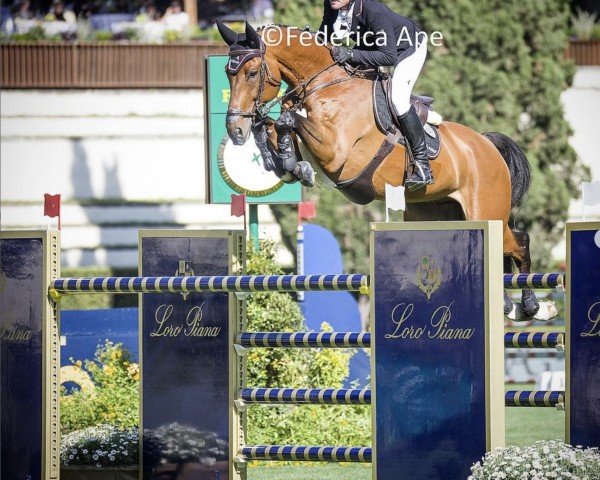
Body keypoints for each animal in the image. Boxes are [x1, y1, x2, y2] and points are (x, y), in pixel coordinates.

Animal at [216, 21, 548, 318]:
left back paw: (534, 306)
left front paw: (288, 156)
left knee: (520, 242)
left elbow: (288, 121)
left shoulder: (335, 152)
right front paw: (284, 160)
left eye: (252, 72)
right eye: (228, 75)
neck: (326, 85)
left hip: (486, 212)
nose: (235, 130)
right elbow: (278, 131)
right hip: (439, 213)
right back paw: (507, 304)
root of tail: (487, 145)